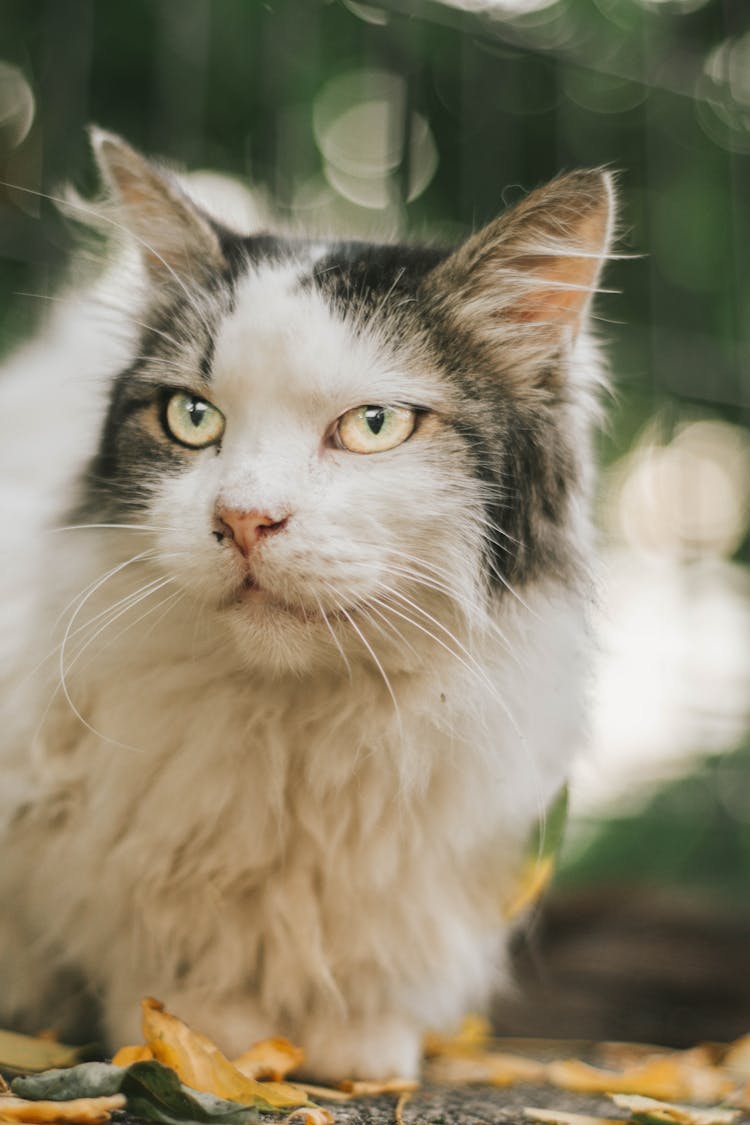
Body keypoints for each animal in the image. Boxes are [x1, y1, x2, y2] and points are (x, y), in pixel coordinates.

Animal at [0, 131, 611, 1080]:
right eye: (192, 417)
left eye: (373, 425)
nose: (244, 519)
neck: (298, 721)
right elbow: (155, 965)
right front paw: (207, 1035)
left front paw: (361, 1047)